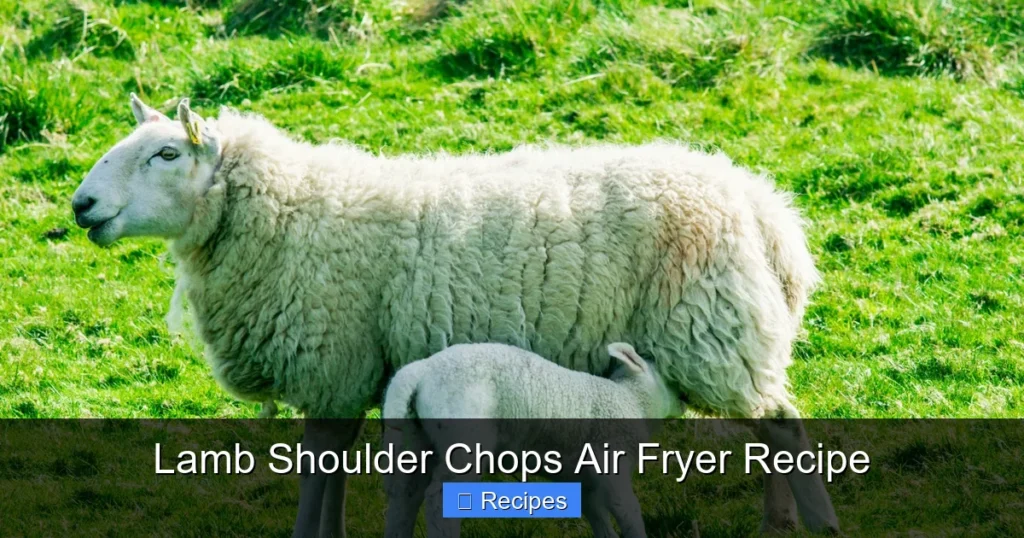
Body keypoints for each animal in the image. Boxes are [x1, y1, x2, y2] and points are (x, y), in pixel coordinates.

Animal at [381, 341, 679, 538]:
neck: (633, 401)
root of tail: (422, 369)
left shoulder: (583, 479)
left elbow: (597, 515)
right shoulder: (610, 461)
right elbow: (627, 511)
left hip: (419, 436)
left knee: (405, 495)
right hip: (464, 433)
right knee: (438, 500)